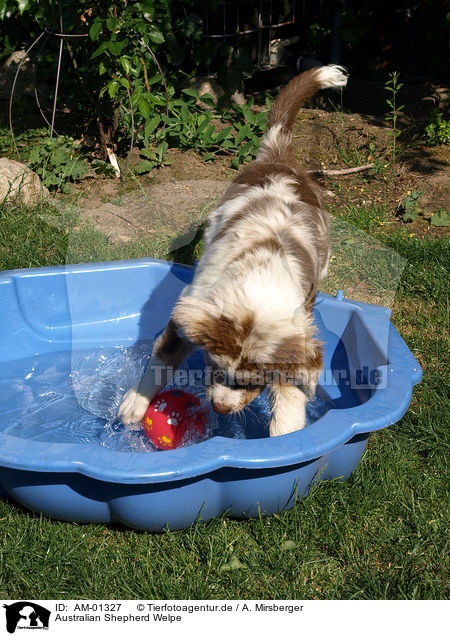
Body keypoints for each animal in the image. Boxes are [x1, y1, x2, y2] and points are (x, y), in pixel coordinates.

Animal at [119, 64, 348, 438]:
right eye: (214, 367)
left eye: (254, 382)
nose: (220, 409)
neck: (261, 286)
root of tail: (279, 157)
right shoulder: (190, 309)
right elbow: (162, 357)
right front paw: (134, 405)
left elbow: (289, 398)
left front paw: (286, 439)